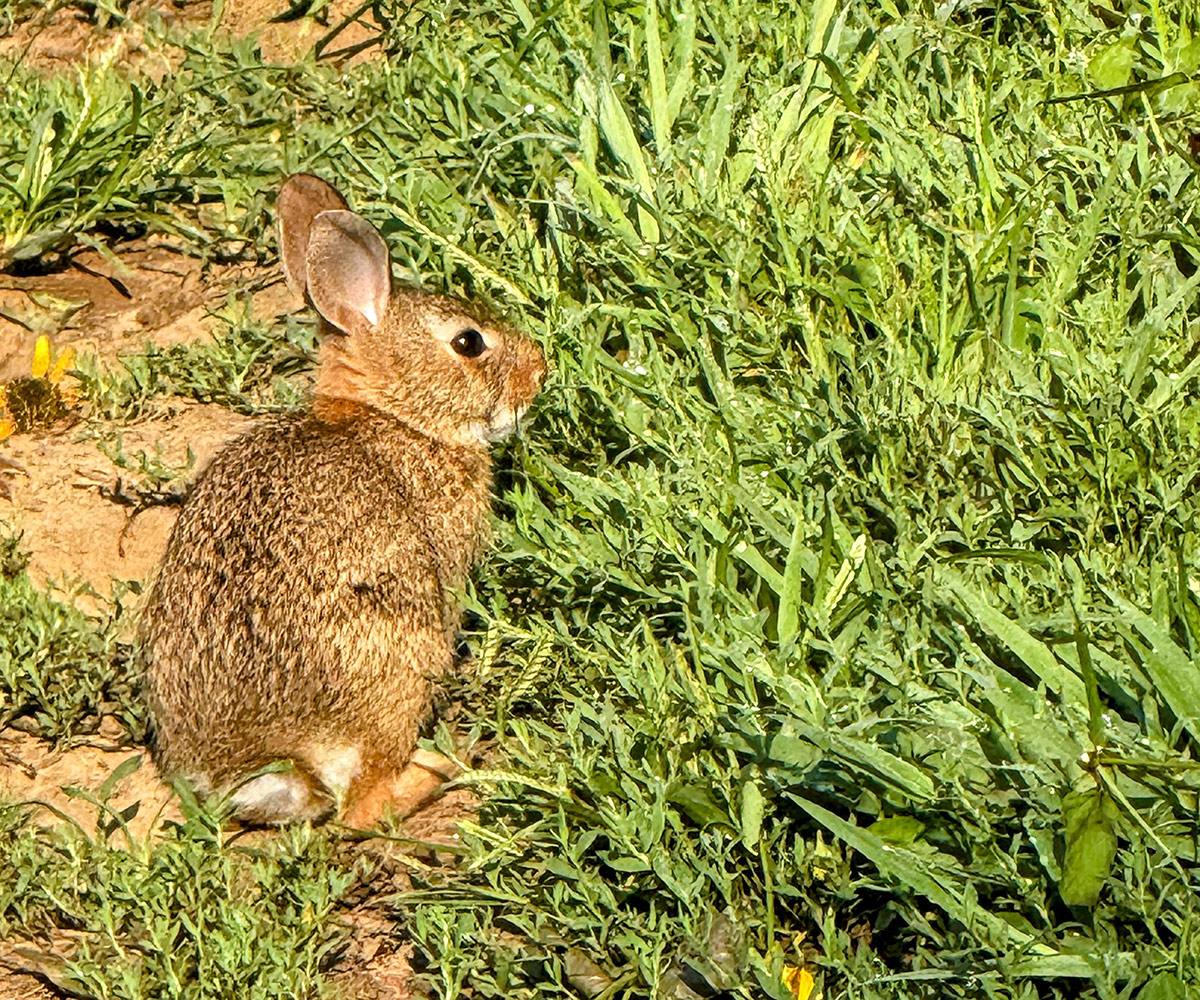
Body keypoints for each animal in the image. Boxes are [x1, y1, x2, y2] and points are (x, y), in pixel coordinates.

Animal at [139, 173, 546, 827]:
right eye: (469, 342)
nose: (541, 369)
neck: (396, 417)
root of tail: (262, 763)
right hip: (401, 675)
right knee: (360, 808)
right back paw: (443, 770)